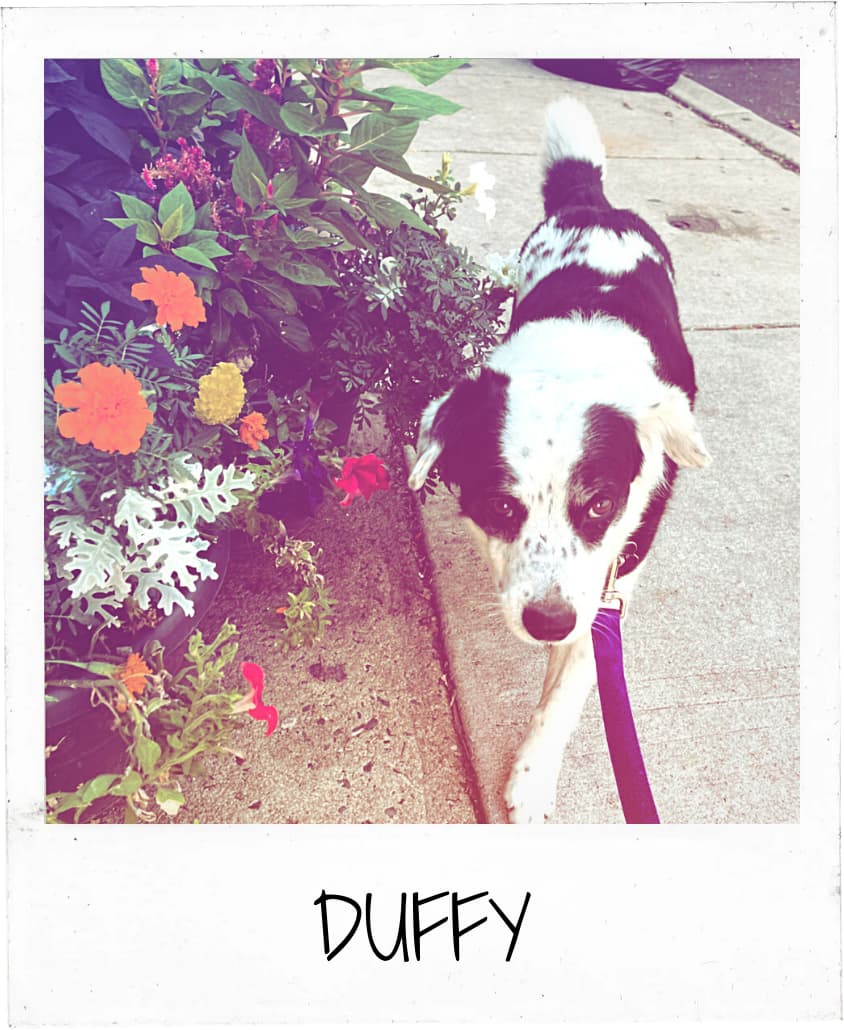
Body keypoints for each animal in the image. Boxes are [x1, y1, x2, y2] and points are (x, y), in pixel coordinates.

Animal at [406, 96, 709, 819]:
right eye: (497, 505)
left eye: (600, 504)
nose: (548, 621)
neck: (575, 363)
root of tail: (592, 204)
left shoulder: (605, 580)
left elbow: (569, 691)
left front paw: (533, 776)